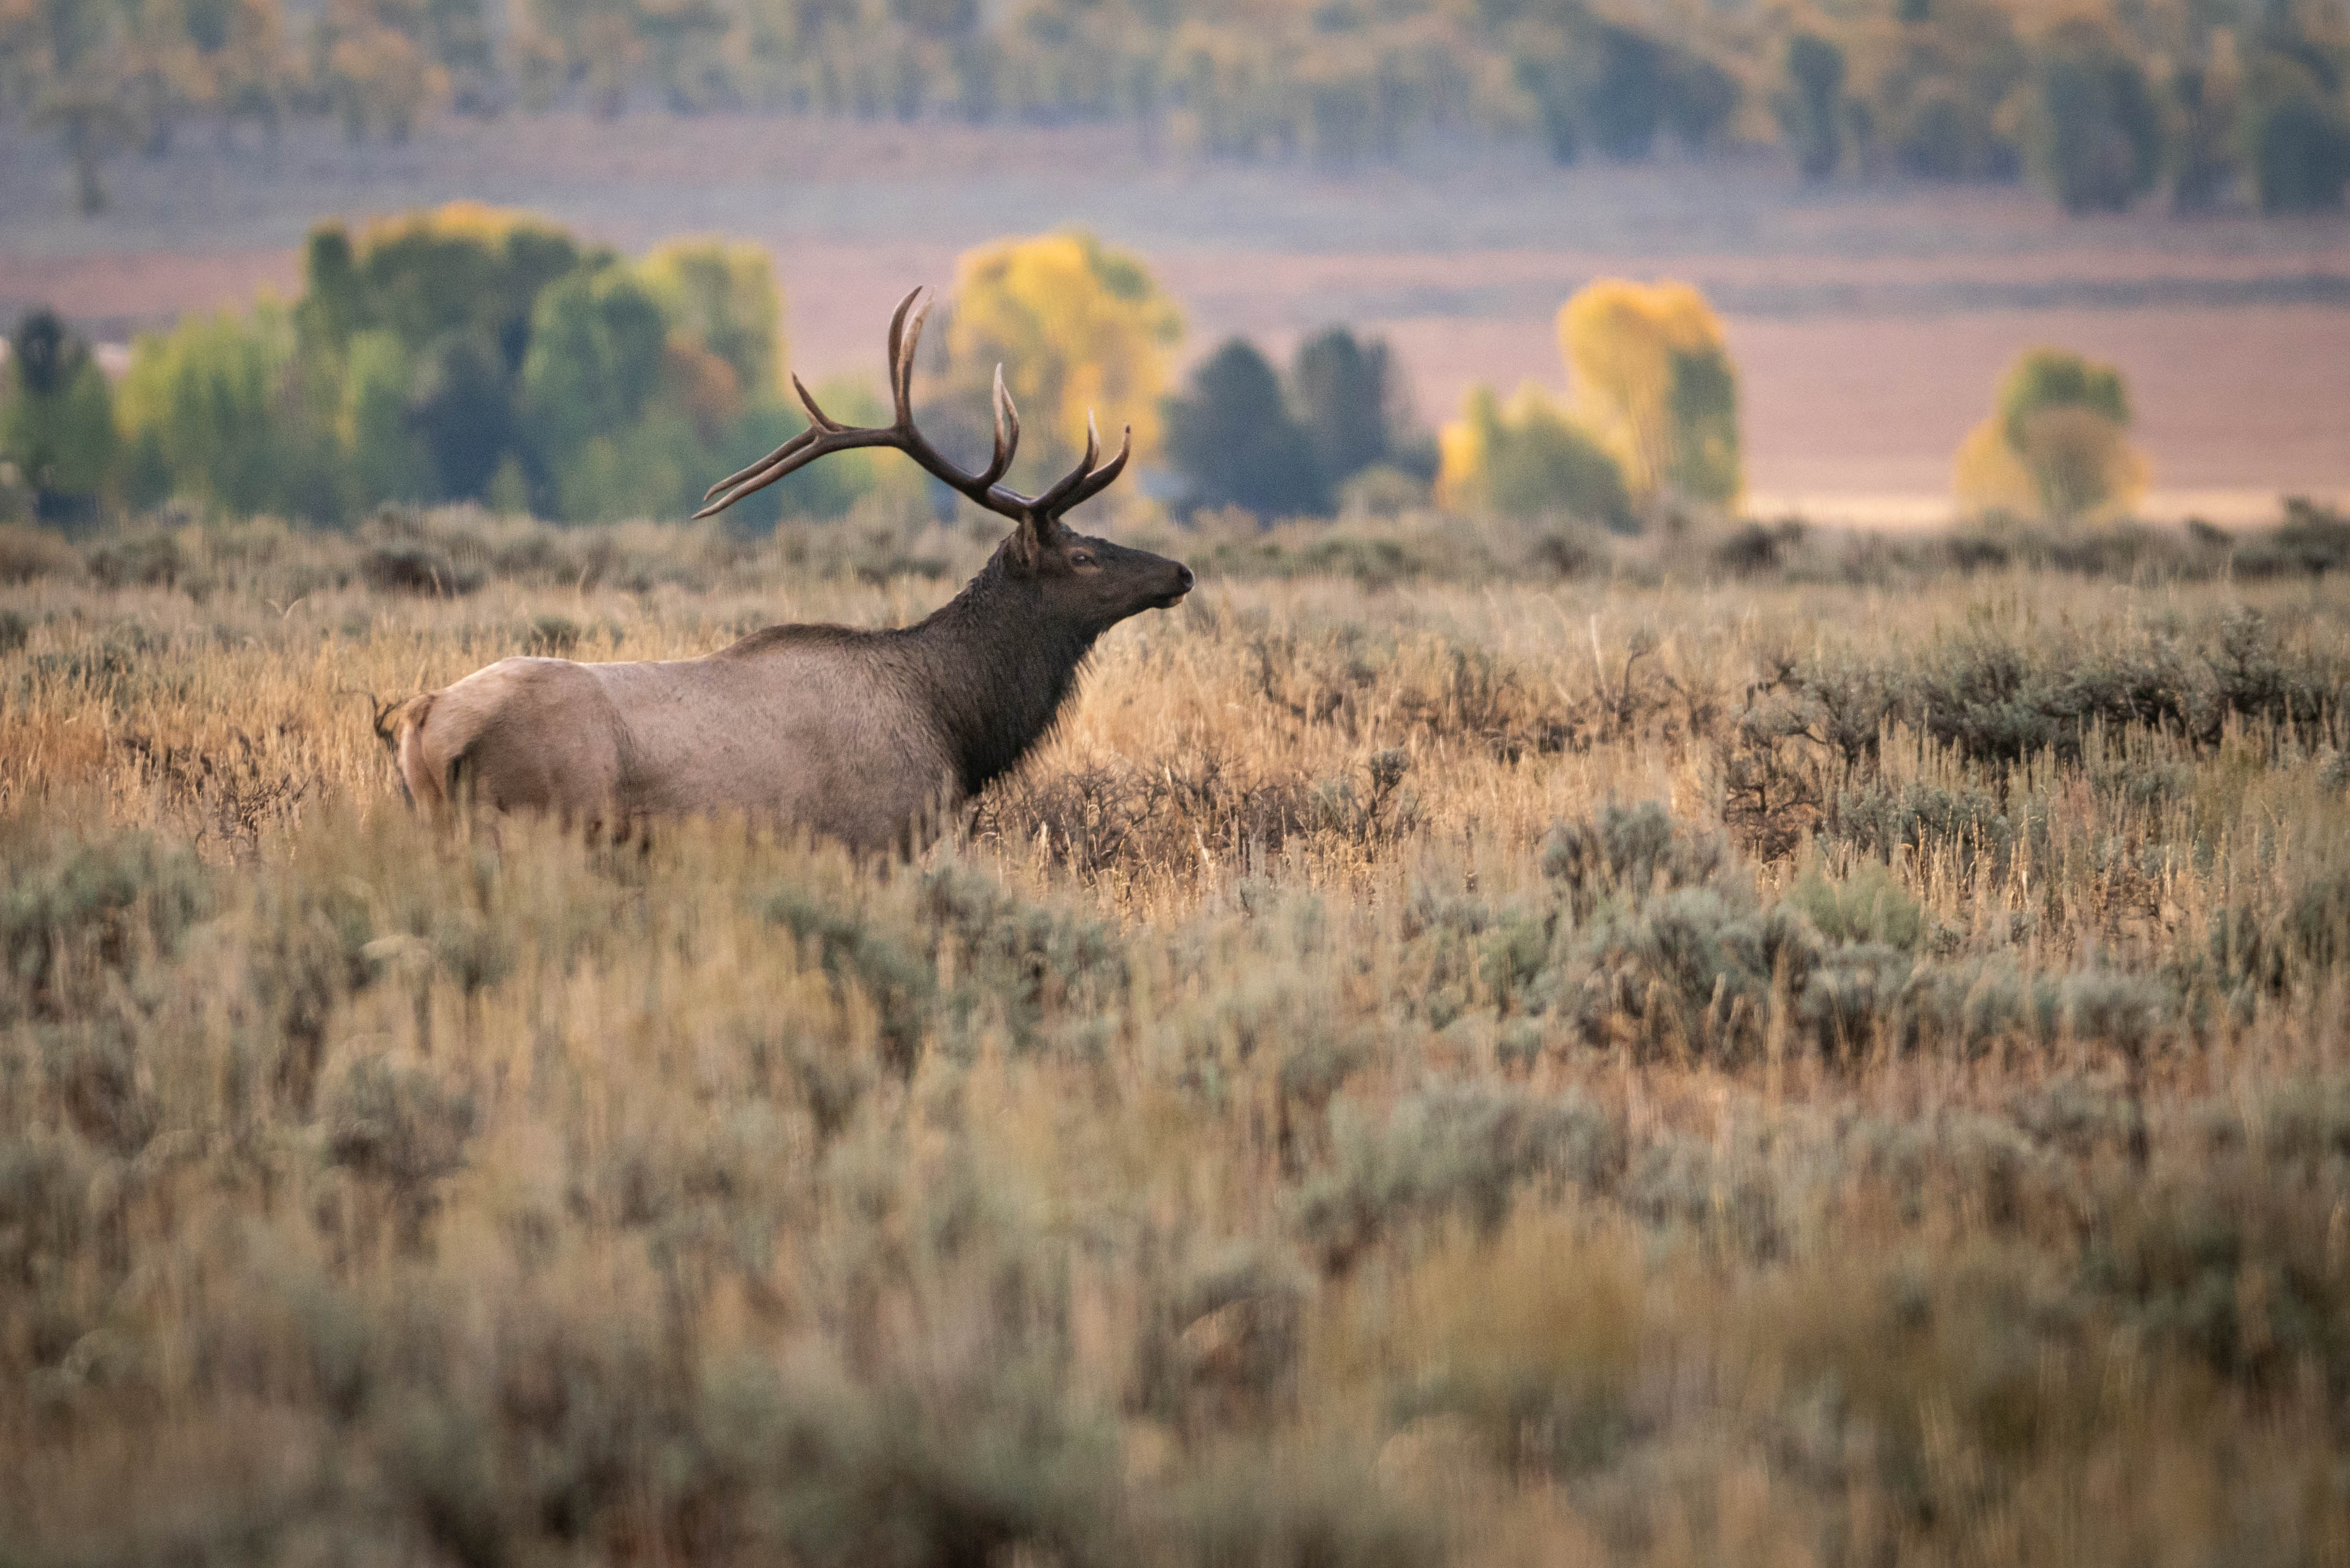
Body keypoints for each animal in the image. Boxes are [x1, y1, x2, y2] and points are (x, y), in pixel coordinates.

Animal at [394, 294, 1193, 860]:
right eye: (1081, 556)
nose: (1180, 571)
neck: (955, 722)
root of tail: (423, 718)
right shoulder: (874, 835)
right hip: (540, 823)